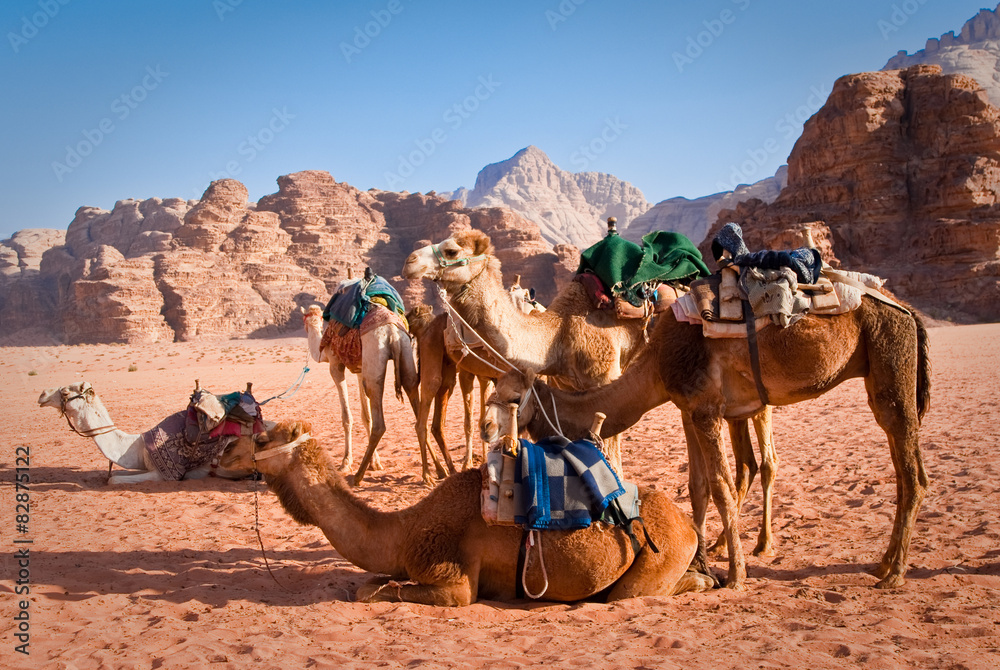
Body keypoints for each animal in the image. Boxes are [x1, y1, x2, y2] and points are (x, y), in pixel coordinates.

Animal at [38, 381, 255, 484]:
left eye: (65, 392)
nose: (42, 394)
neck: (138, 446)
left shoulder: (165, 475)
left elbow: (113, 479)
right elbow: (114, 474)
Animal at [219, 419, 716, 605]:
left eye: (261, 437)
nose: (222, 452)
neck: (405, 529)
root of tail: (688, 524)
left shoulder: (452, 578)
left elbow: (378, 592)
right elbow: (371, 583)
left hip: (655, 557)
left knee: (636, 592)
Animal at [302, 304, 423, 486]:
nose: (307, 326)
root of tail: (392, 332)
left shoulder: (335, 365)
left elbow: (347, 417)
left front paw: (345, 463)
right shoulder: (360, 369)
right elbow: (366, 417)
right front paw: (375, 462)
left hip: (374, 358)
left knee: (379, 423)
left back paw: (357, 477)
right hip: (405, 351)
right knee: (416, 405)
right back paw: (434, 471)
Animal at [404, 230, 930, 590]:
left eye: (451, 250)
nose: (410, 260)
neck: (557, 334)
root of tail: (904, 305)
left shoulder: (647, 386)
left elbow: (683, 478)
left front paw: (733, 574)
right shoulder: (689, 404)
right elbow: (697, 486)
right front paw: (700, 556)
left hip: (885, 366)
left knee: (887, 467)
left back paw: (880, 569)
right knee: (767, 462)